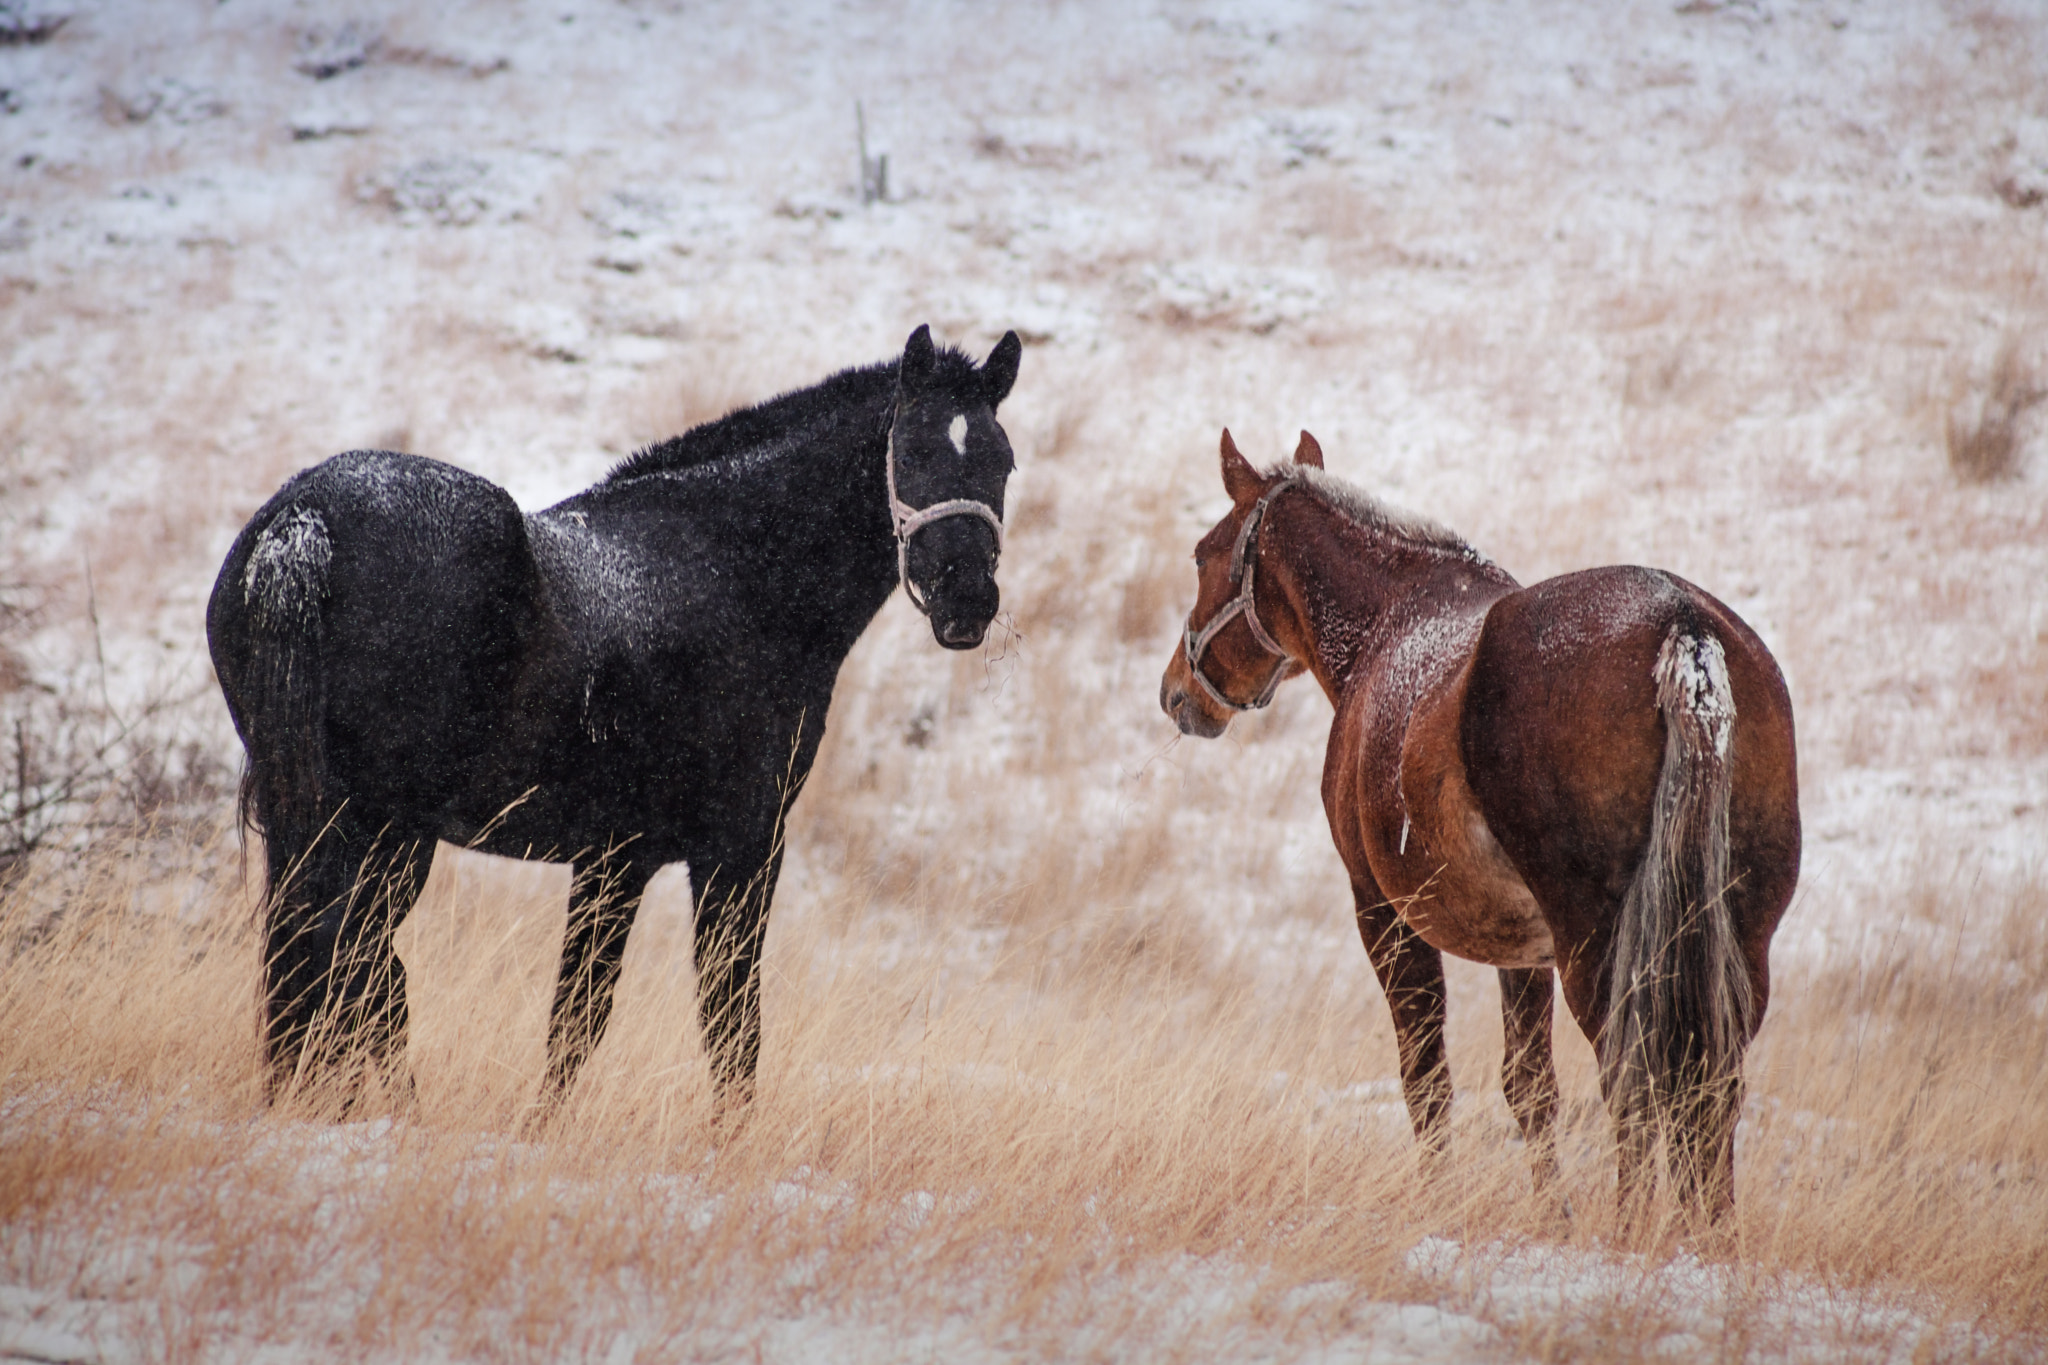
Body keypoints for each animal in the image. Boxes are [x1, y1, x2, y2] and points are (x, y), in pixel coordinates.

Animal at [209, 324, 1022, 1115]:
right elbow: (727, 1023)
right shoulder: (740, 847)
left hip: (322, 819)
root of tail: (304, 521)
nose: (967, 598)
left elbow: (577, 1019)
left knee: (326, 962)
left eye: (1004, 463)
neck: (734, 573)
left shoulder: (616, 858)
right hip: (384, 830)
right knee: (353, 964)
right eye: (912, 450)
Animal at [1159, 429, 1800, 1222]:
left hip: (1602, 945)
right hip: (1735, 941)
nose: (1175, 693)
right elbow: (1530, 1088)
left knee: (1636, 1084)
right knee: (1709, 1092)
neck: (1390, 625)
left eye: (1202, 554)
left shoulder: (1383, 913)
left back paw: (1630, 1228)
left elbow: (1427, 1080)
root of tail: (1681, 622)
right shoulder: (1523, 951)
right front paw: (1551, 1217)